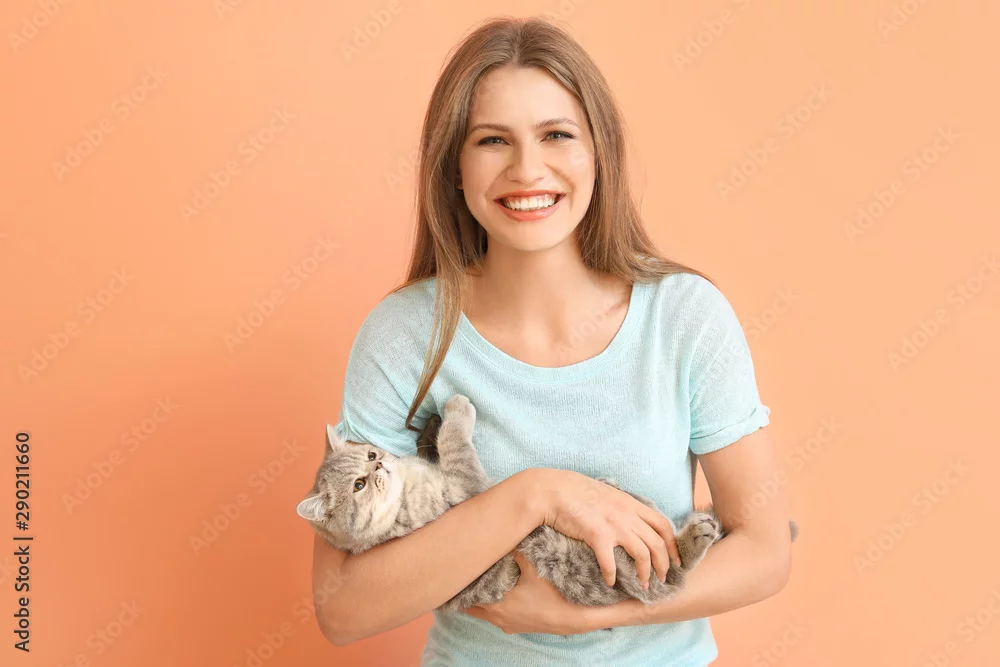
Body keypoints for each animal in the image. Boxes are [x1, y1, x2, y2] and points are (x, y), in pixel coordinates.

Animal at [297, 394, 797, 614]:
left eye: (369, 455)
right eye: (358, 484)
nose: (381, 463)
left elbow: (438, 441)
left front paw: (433, 422)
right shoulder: (466, 491)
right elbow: (457, 443)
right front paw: (455, 410)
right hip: (621, 565)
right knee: (671, 575)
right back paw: (695, 537)